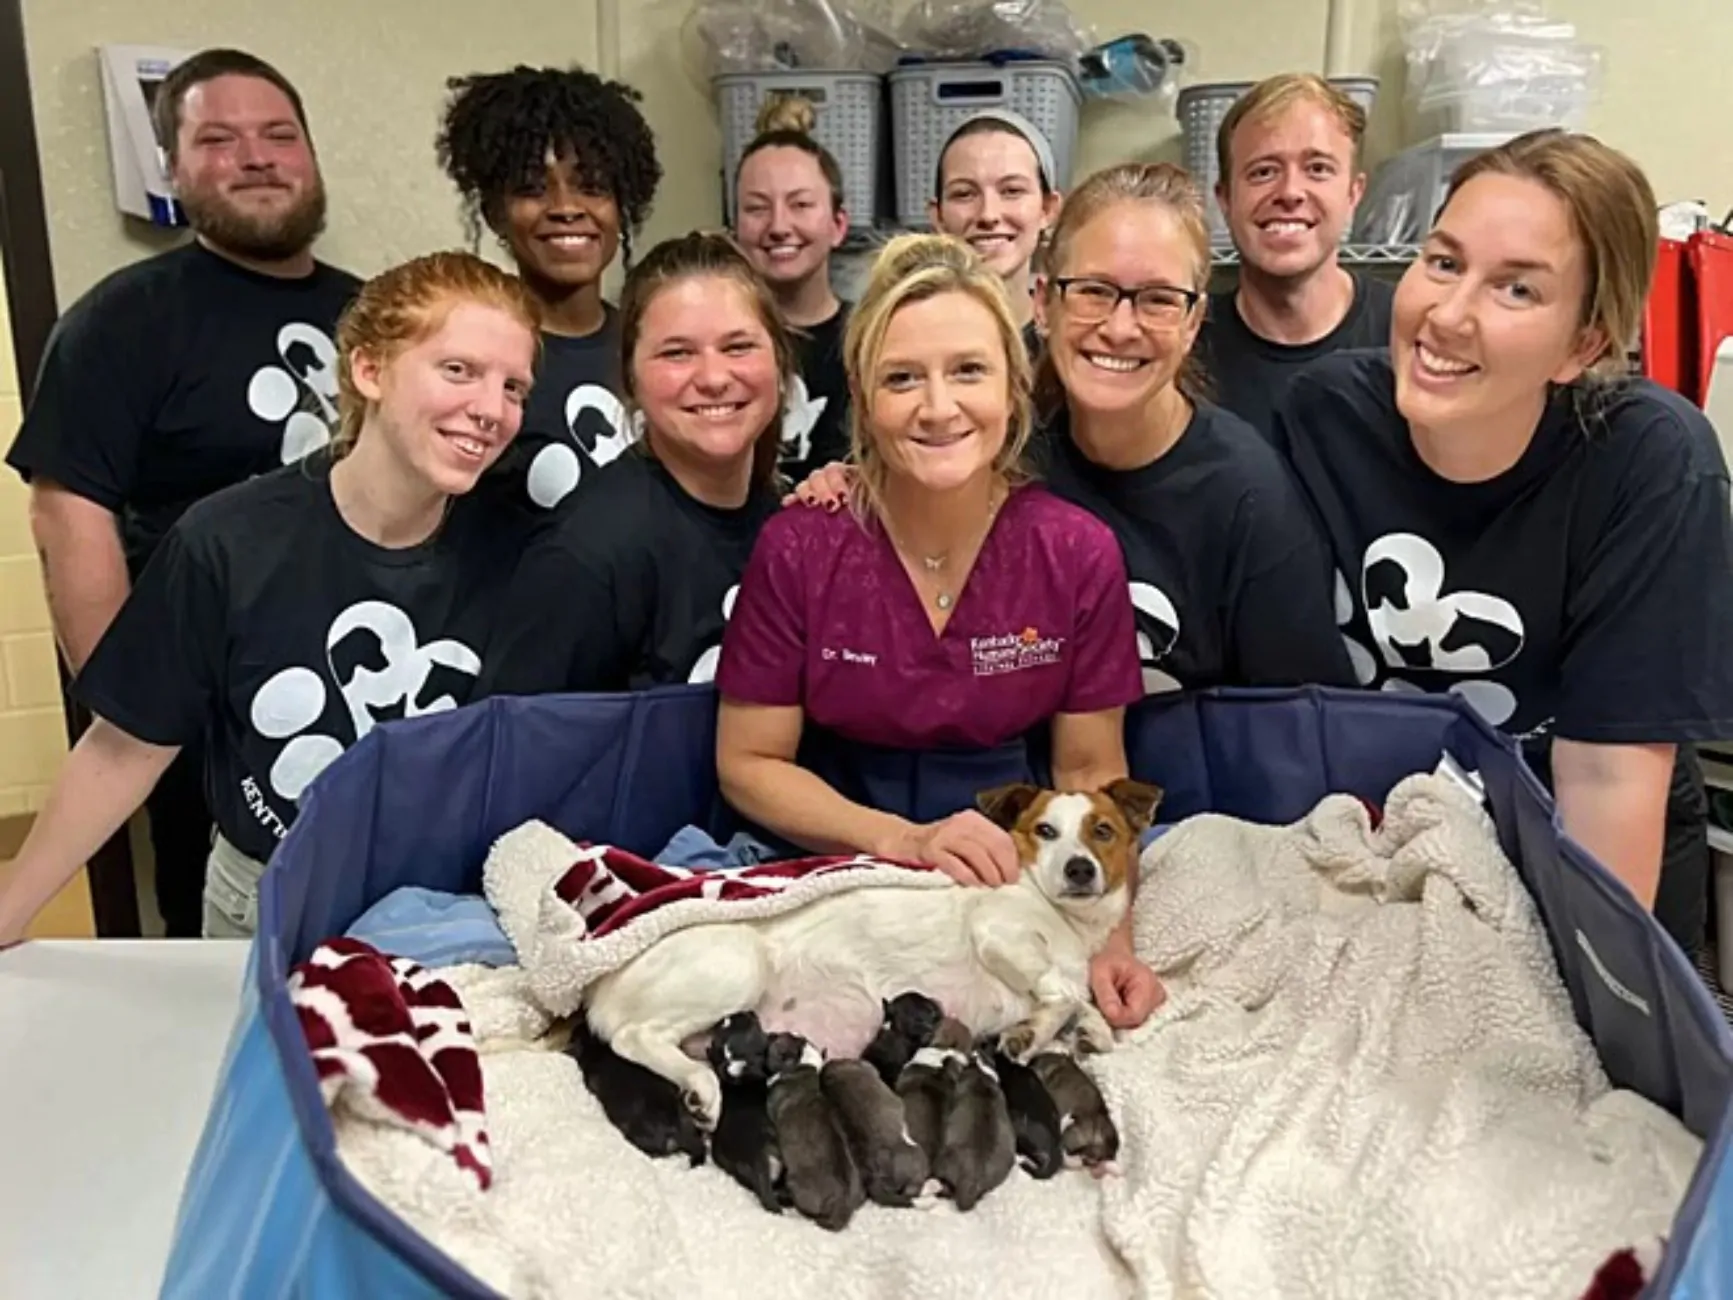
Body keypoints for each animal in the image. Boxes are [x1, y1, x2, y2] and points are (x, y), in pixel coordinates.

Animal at [582, 780, 1164, 1137]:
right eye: (1045, 831)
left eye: (1103, 832)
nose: (1079, 869)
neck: (1068, 922)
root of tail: (598, 987)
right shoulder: (999, 932)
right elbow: (1061, 991)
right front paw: (1036, 1029)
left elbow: (1082, 999)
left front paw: (1086, 1026)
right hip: (737, 963)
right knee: (634, 1036)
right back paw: (700, 1087)